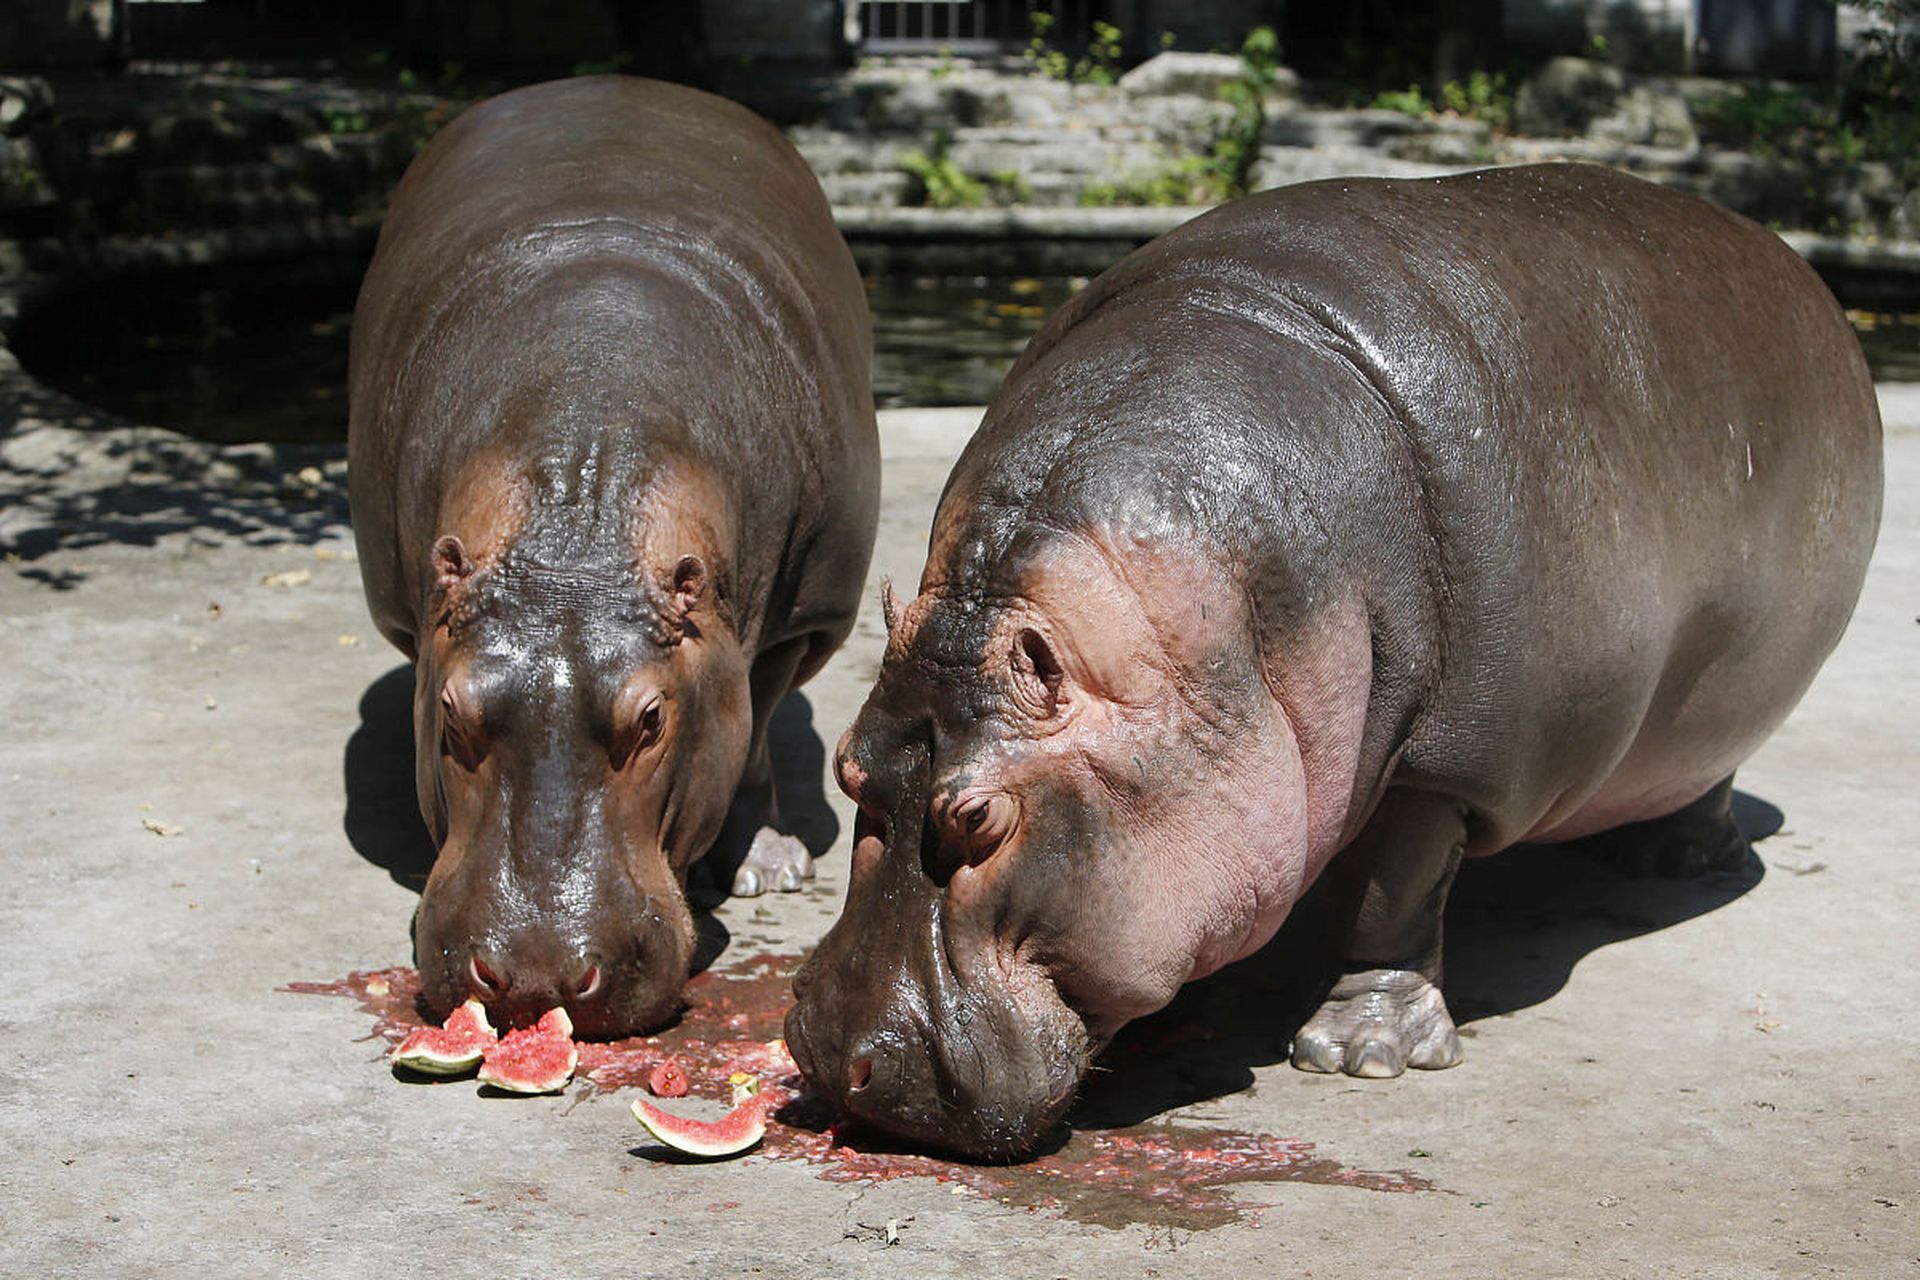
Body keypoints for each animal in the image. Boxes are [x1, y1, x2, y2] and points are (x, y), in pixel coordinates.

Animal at [351, 77, 879, 1043]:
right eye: (449, 712)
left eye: (652, 719)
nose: (533, 976)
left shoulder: (799, 623)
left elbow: (751, 728)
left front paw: (765, 866)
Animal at [787, 163, 1881, 1159]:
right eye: (847, 767)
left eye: (980, 819)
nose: (842, 1061)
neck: (1211, 650)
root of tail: (1791, 263)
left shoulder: (1447, 767)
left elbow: (1395, 892)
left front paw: (1360, 1052)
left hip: (1726, 710)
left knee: (1709, 780)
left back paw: (1681, 857)